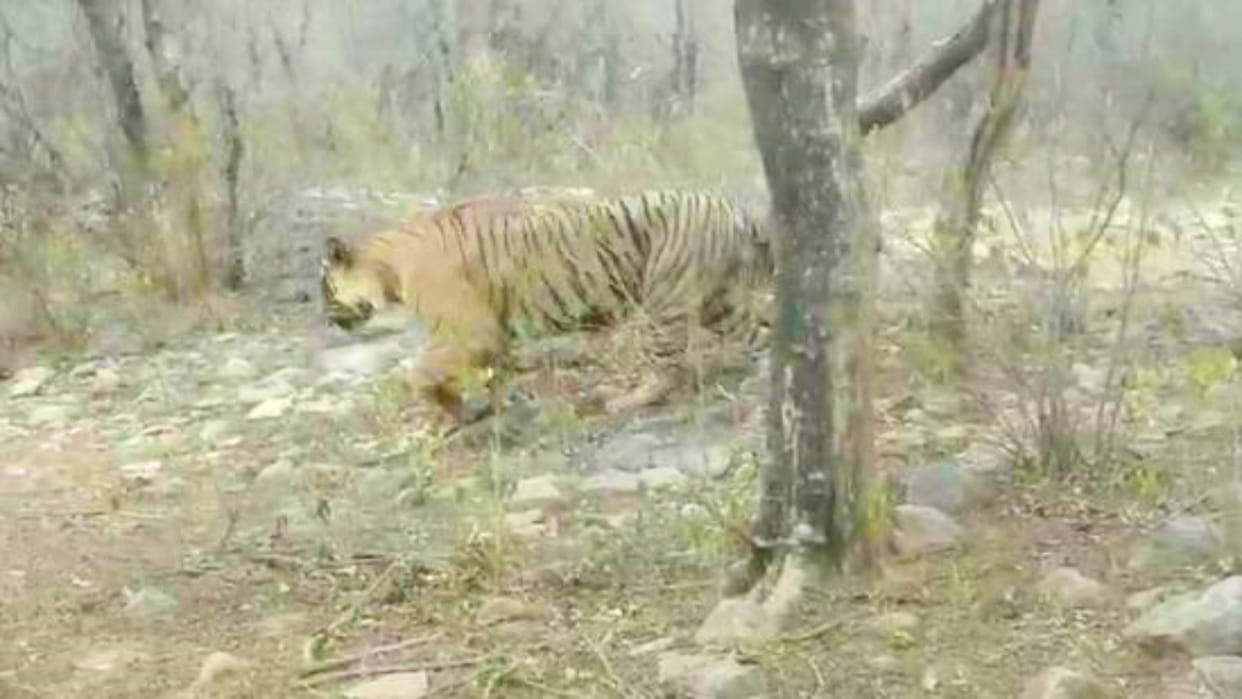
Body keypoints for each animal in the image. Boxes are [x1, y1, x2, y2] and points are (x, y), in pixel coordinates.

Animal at [320, 188, 774, 426]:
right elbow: (491, 375)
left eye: (326, 289)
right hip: (720, 301)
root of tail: (733, 208)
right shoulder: (491, 335)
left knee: (664, 366)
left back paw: (625, 401)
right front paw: (472, 409)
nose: (327, 320)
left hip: (666, 299)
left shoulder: (467, 332)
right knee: (755, 333)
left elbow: (419, 373)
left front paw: (443, 409)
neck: (390, 265)